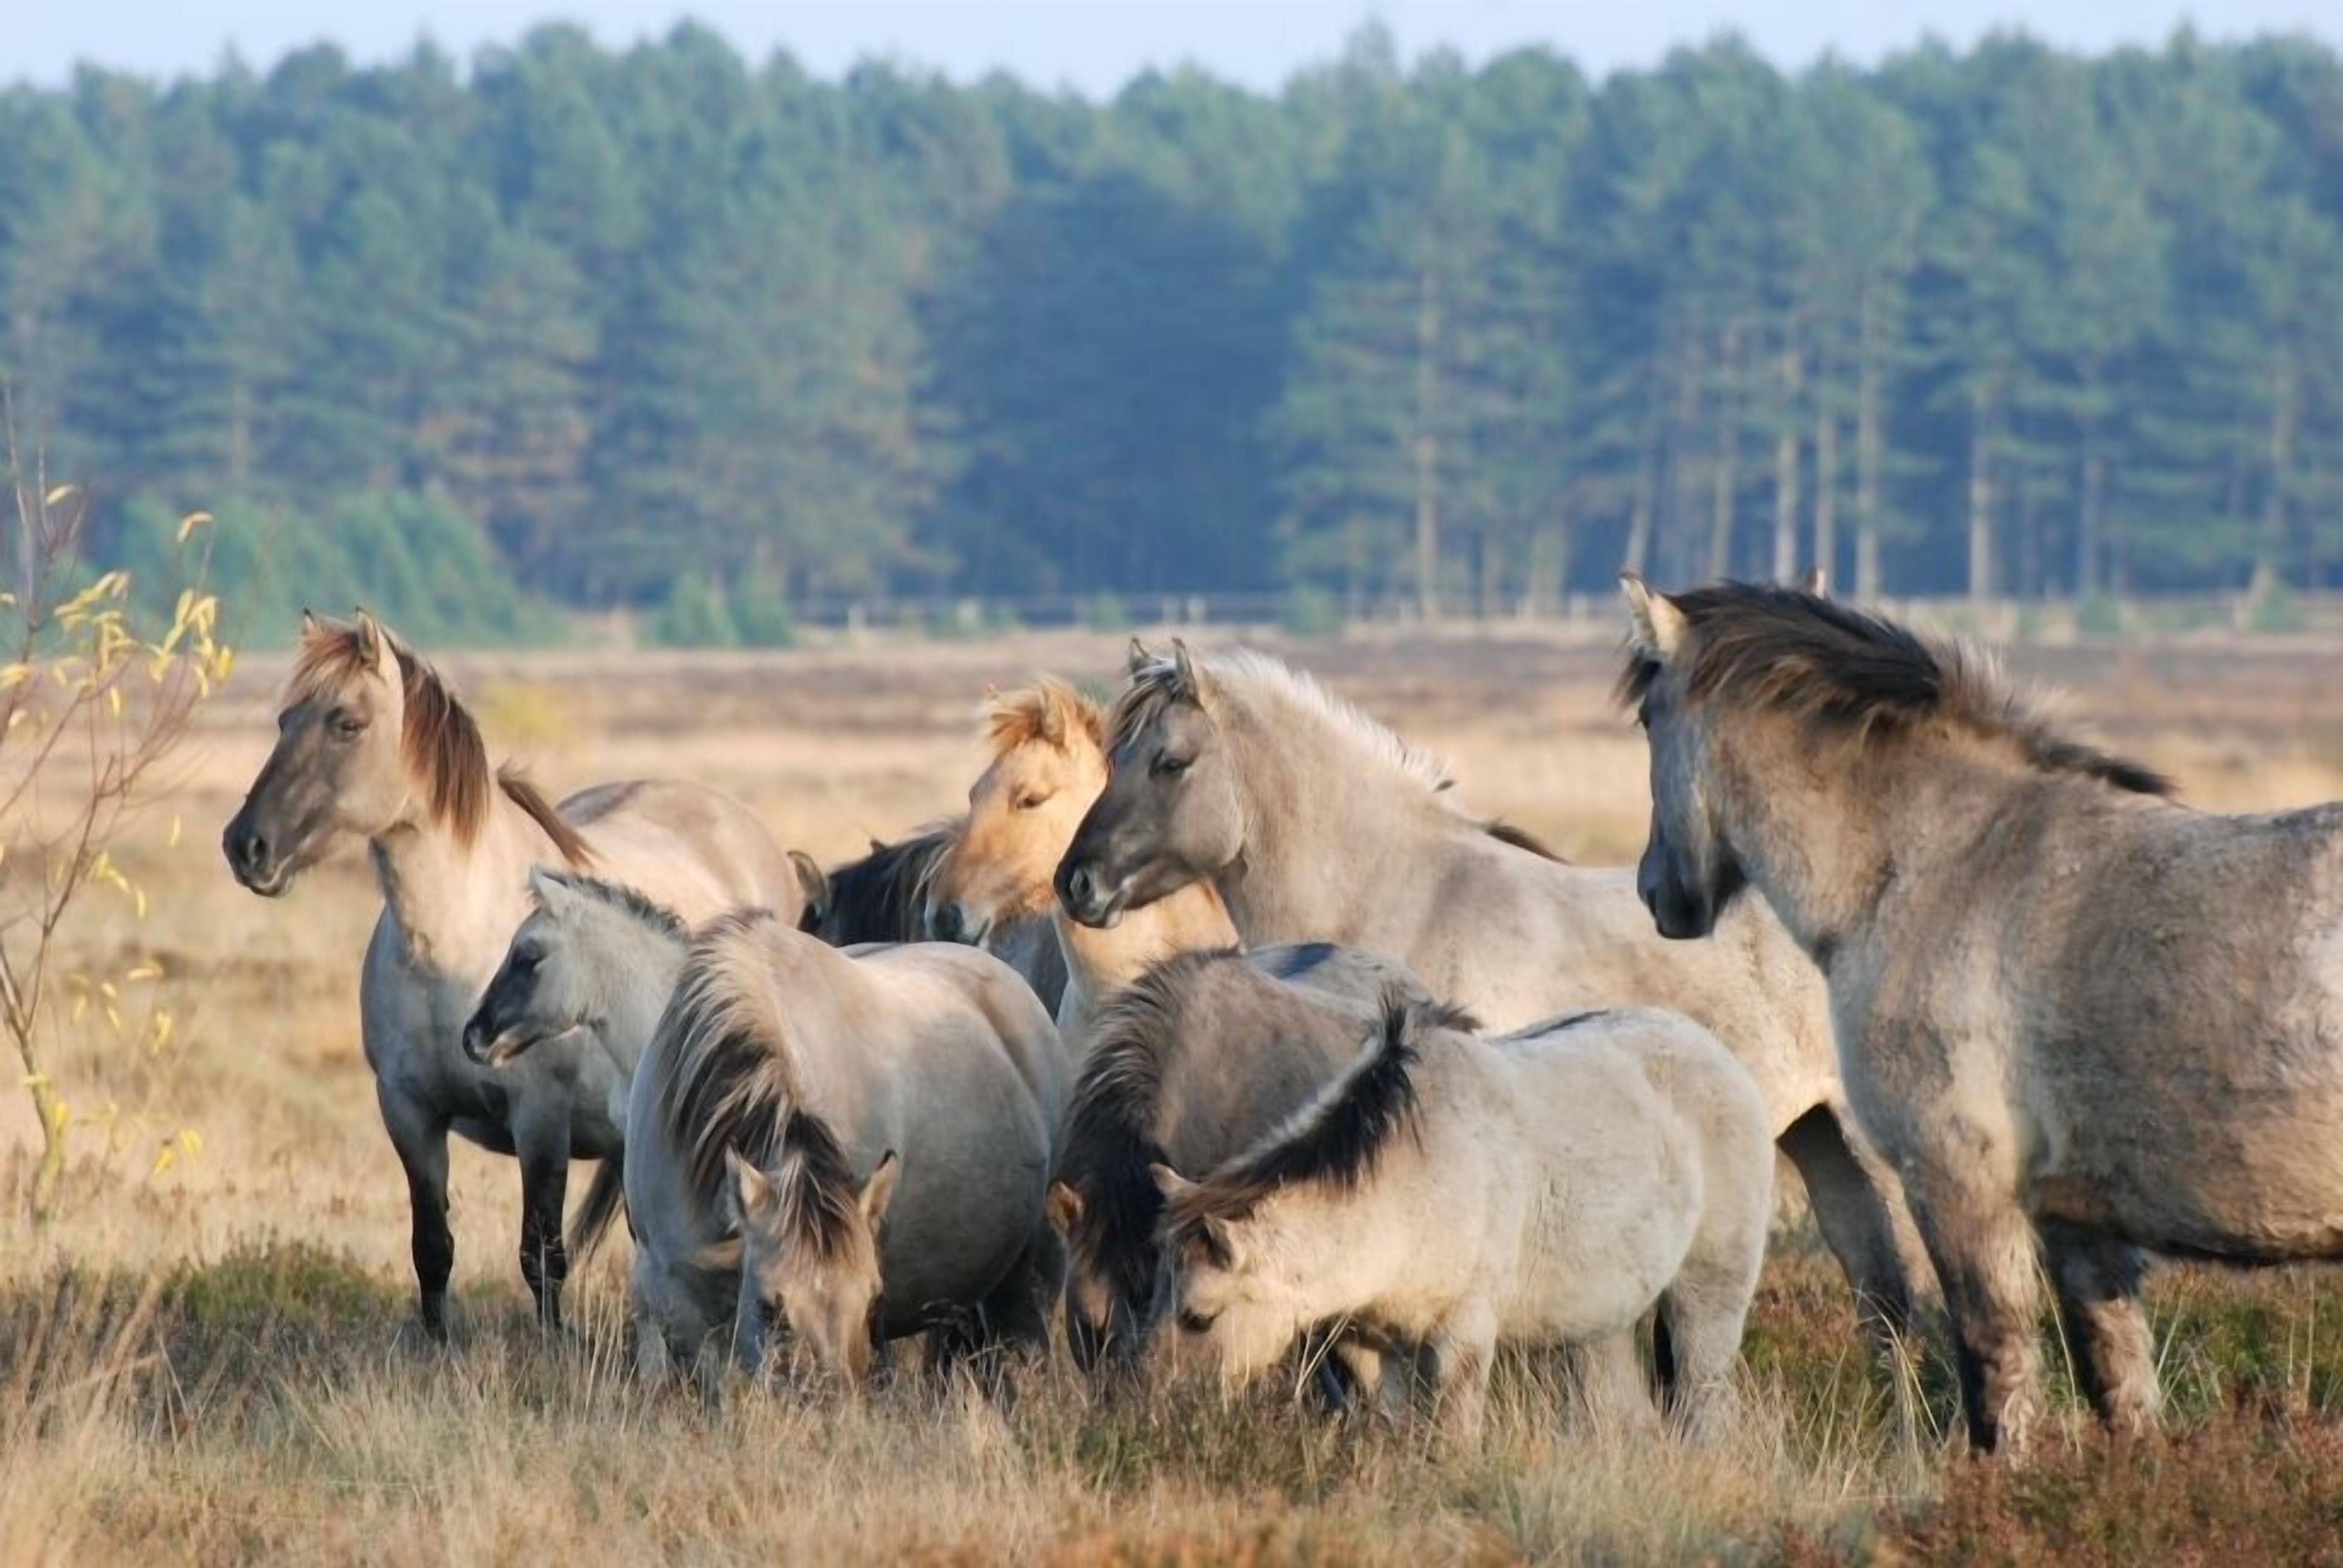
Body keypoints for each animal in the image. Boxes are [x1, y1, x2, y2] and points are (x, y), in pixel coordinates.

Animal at [220, 611, 812, 1338]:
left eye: (347, 723)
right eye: (283, 720)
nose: (246, 847)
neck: (448, 951)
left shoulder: (540, 1122)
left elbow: (541, 1254)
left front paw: (554, 1346)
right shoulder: (408, 1114)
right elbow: (431, 1247)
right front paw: (438, 1347)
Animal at [1052, 641, 1928, 1349]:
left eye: (1170, 762)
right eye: (1109, 762)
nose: (1075, 883)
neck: (1411, 892)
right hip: (1818, 1139)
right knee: (1882, 1300)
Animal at [1154, 987, 1774, 1441]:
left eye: (1199, 1317)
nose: (1159, 1411)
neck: (1411, 1180)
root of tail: (1721, 1058)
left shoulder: (1462, 1341)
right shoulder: (1378, 1348)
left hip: (1706, 1303)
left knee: (1704, 1400)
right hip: (1603, 1325)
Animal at [1616, 575, 2343, 1454]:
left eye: (1647, 718)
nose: (1657, 895)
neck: (1937, 863)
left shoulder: (1956, 1186)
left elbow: (1996, 1380)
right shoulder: (2078, 1225)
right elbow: (2118, 1389)